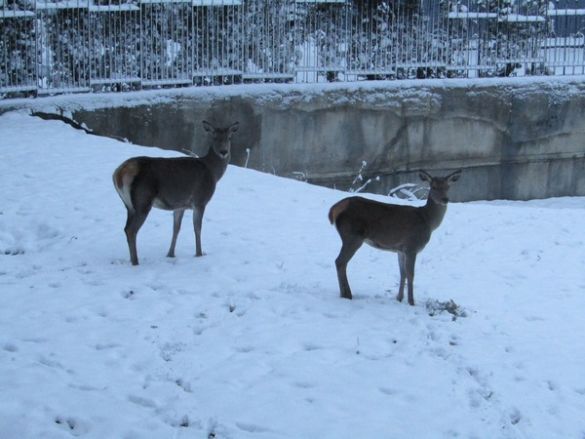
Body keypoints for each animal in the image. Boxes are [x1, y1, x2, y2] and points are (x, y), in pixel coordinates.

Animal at [112, 119, 240, 264]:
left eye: (229, 137)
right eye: (214, 137)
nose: (224, 151)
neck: (213, 172)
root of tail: (119, 173)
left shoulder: (180, 205)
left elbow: (176, 228)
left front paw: (170, 254)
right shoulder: (200, 200)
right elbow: (197, 228)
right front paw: (199, 254)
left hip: (128, 205)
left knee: (126, 228)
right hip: (143, 199)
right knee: (131, 230)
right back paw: (136, 262)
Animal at [328, 171, 460, 306]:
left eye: (448, 187)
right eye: (433, 187)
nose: (445, 199)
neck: (428, 221)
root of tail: (334, 209)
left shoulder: (400, 249)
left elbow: (402, 273)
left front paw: (399, 298)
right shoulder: (412, 246)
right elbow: (411, 274)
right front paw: (411, 302)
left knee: (340, 262)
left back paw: (344, 294)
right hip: (352, 236)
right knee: (340, 261)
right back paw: (347, 294)